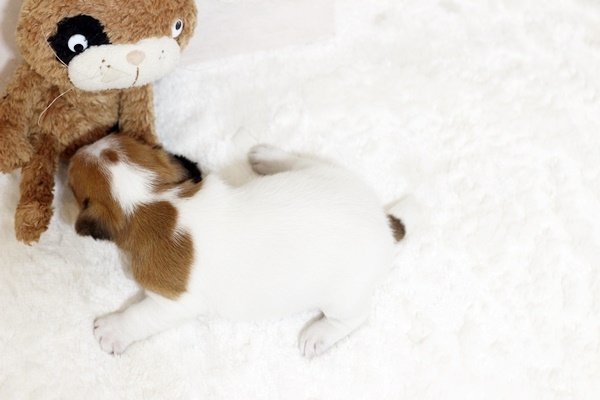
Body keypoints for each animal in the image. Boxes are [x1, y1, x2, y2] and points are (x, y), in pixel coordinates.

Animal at [68, 134, 406, 357]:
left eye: (72, 183)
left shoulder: (174, 302)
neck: (153, 202)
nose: (75, 152)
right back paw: (268, 157)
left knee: (352, 318)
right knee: (300, 160)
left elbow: (139, 316)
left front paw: (113, 330)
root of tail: (384, 222)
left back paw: (319, 335)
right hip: (320, 172)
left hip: (344, 296)